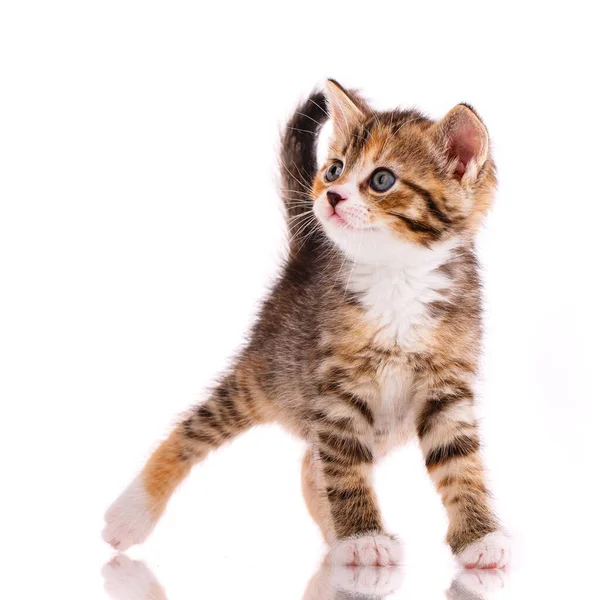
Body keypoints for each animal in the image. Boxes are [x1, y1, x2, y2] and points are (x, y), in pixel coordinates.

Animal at [103, 78, 510, 568]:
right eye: (333, 170)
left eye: (382, 179)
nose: (331, 196)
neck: (397, 275)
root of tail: (302, 260)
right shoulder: (336, 386)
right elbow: (344, 465)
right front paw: (363, 537)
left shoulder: (447, 385)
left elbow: (458, 461)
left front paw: (478, 537)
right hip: (266, 374)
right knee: (192, 431)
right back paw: (131, 512)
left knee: (311, 464)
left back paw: (335, 542)